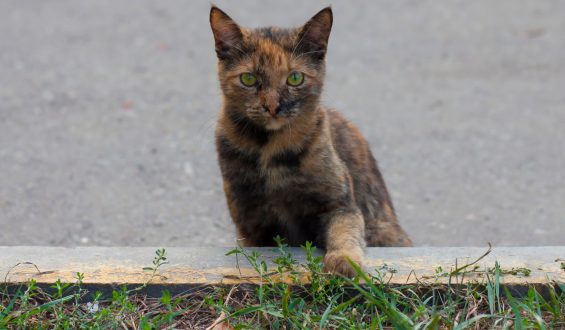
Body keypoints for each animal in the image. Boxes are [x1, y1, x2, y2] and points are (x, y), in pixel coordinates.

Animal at [209, 6, 412, 278]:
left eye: (295, 78)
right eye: (248, 79)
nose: (272, 106)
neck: (270, 150)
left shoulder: (339, 204)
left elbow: (344, 232)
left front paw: (345, 261)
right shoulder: (252, 223)